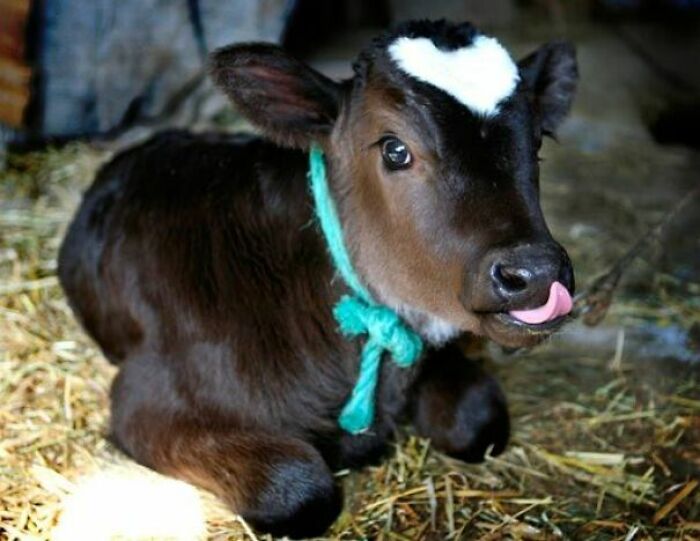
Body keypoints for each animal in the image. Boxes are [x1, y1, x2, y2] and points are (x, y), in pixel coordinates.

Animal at [58, 20, 577, 538]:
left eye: (536, 144)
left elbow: (479, 421)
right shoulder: (147, 398)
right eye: (395, 149)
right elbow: (301, 489)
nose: (535, 272)